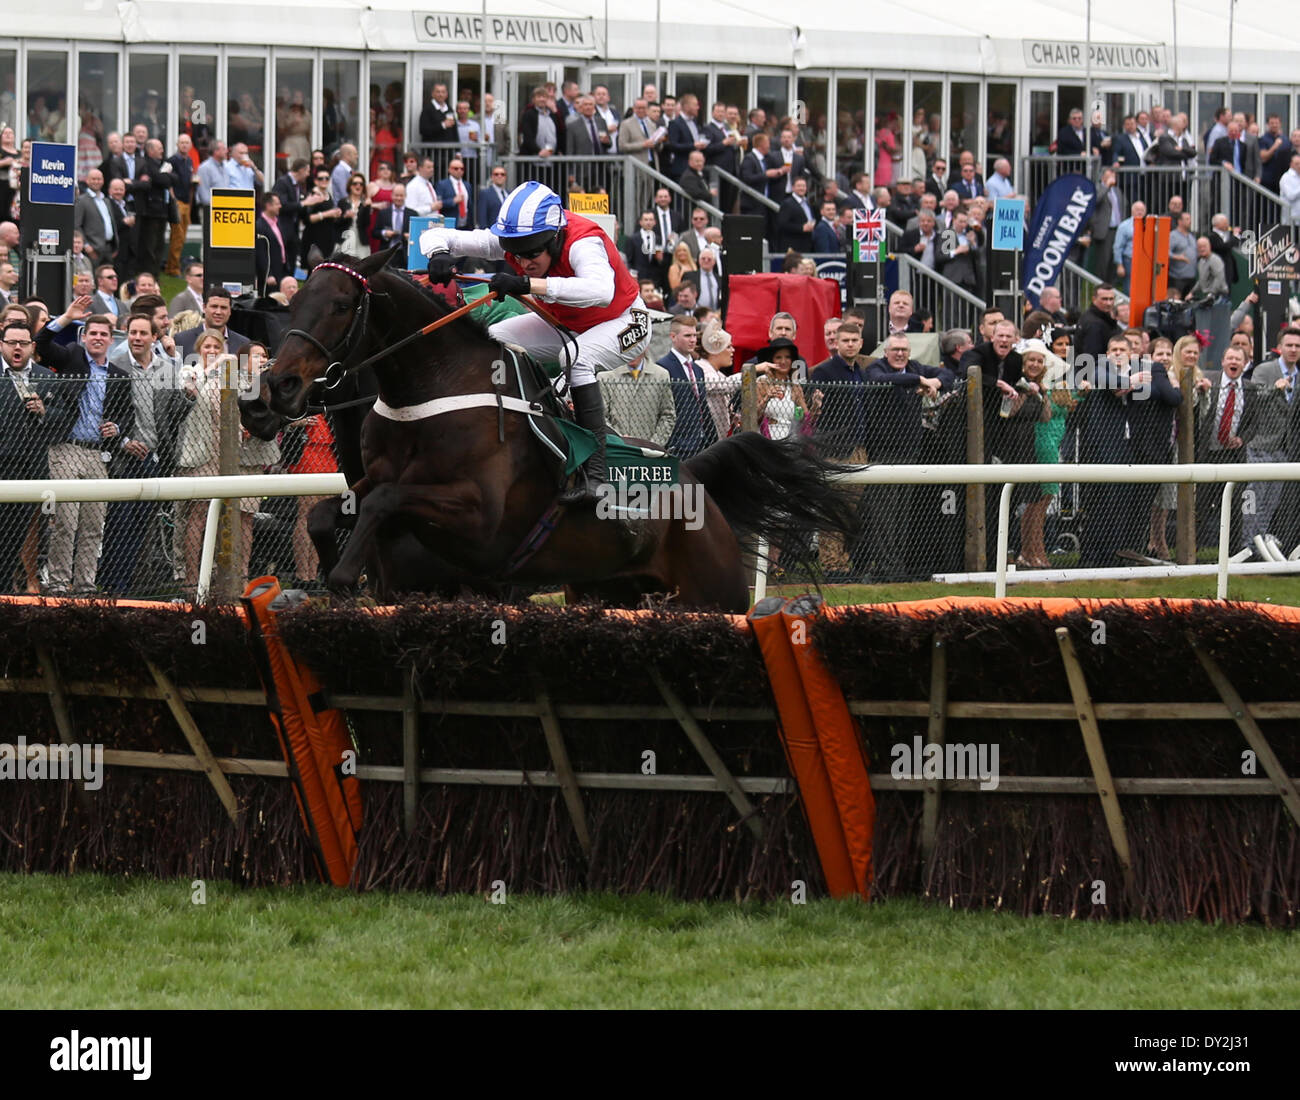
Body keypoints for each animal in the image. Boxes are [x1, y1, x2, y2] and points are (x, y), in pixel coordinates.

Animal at [258, 245, 857, 616]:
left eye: (341, 305)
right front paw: (335, 575)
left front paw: (343, 577)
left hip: (712, 593)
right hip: (606, 591)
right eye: (293, 301)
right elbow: (325, 512)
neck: (431, 390)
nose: (278, 386)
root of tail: (693, 477)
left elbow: (384, 501)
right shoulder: (376, 487)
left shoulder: (479, 518)